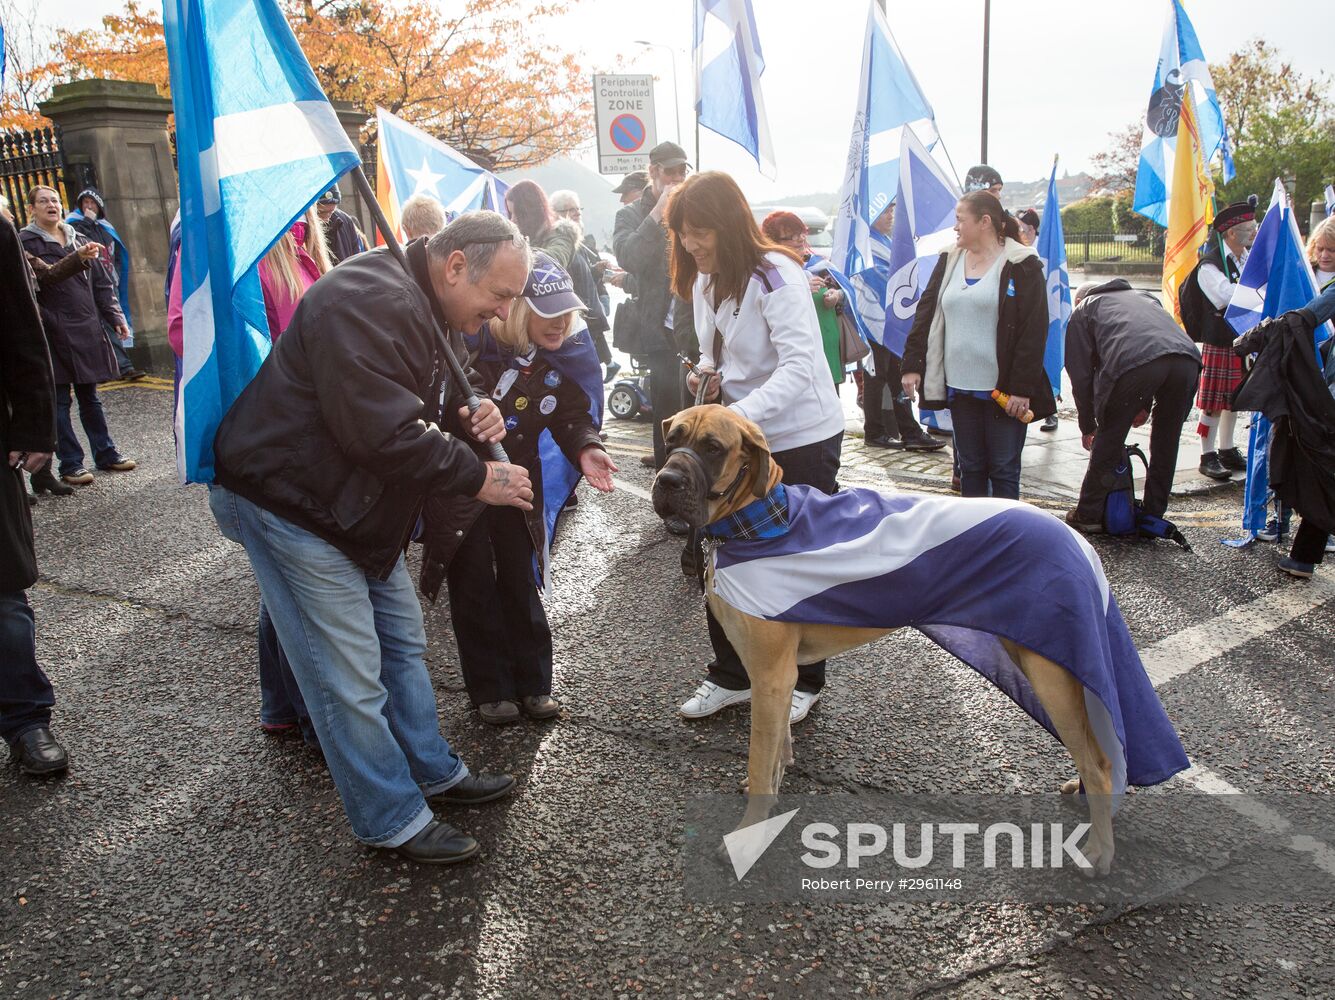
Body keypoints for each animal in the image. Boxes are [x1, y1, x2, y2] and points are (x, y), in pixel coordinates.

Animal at [656, 400, 1190, 870]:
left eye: (712, 447)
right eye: (672, 438)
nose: (666, 480)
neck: (754, 525)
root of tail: (1076, 537)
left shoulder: (770, 674)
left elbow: (757, 757)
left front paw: (748, 838)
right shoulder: (773, 678)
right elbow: (775, 752)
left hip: (1052, 674)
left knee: (1101, 762)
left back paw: (1098, 848)